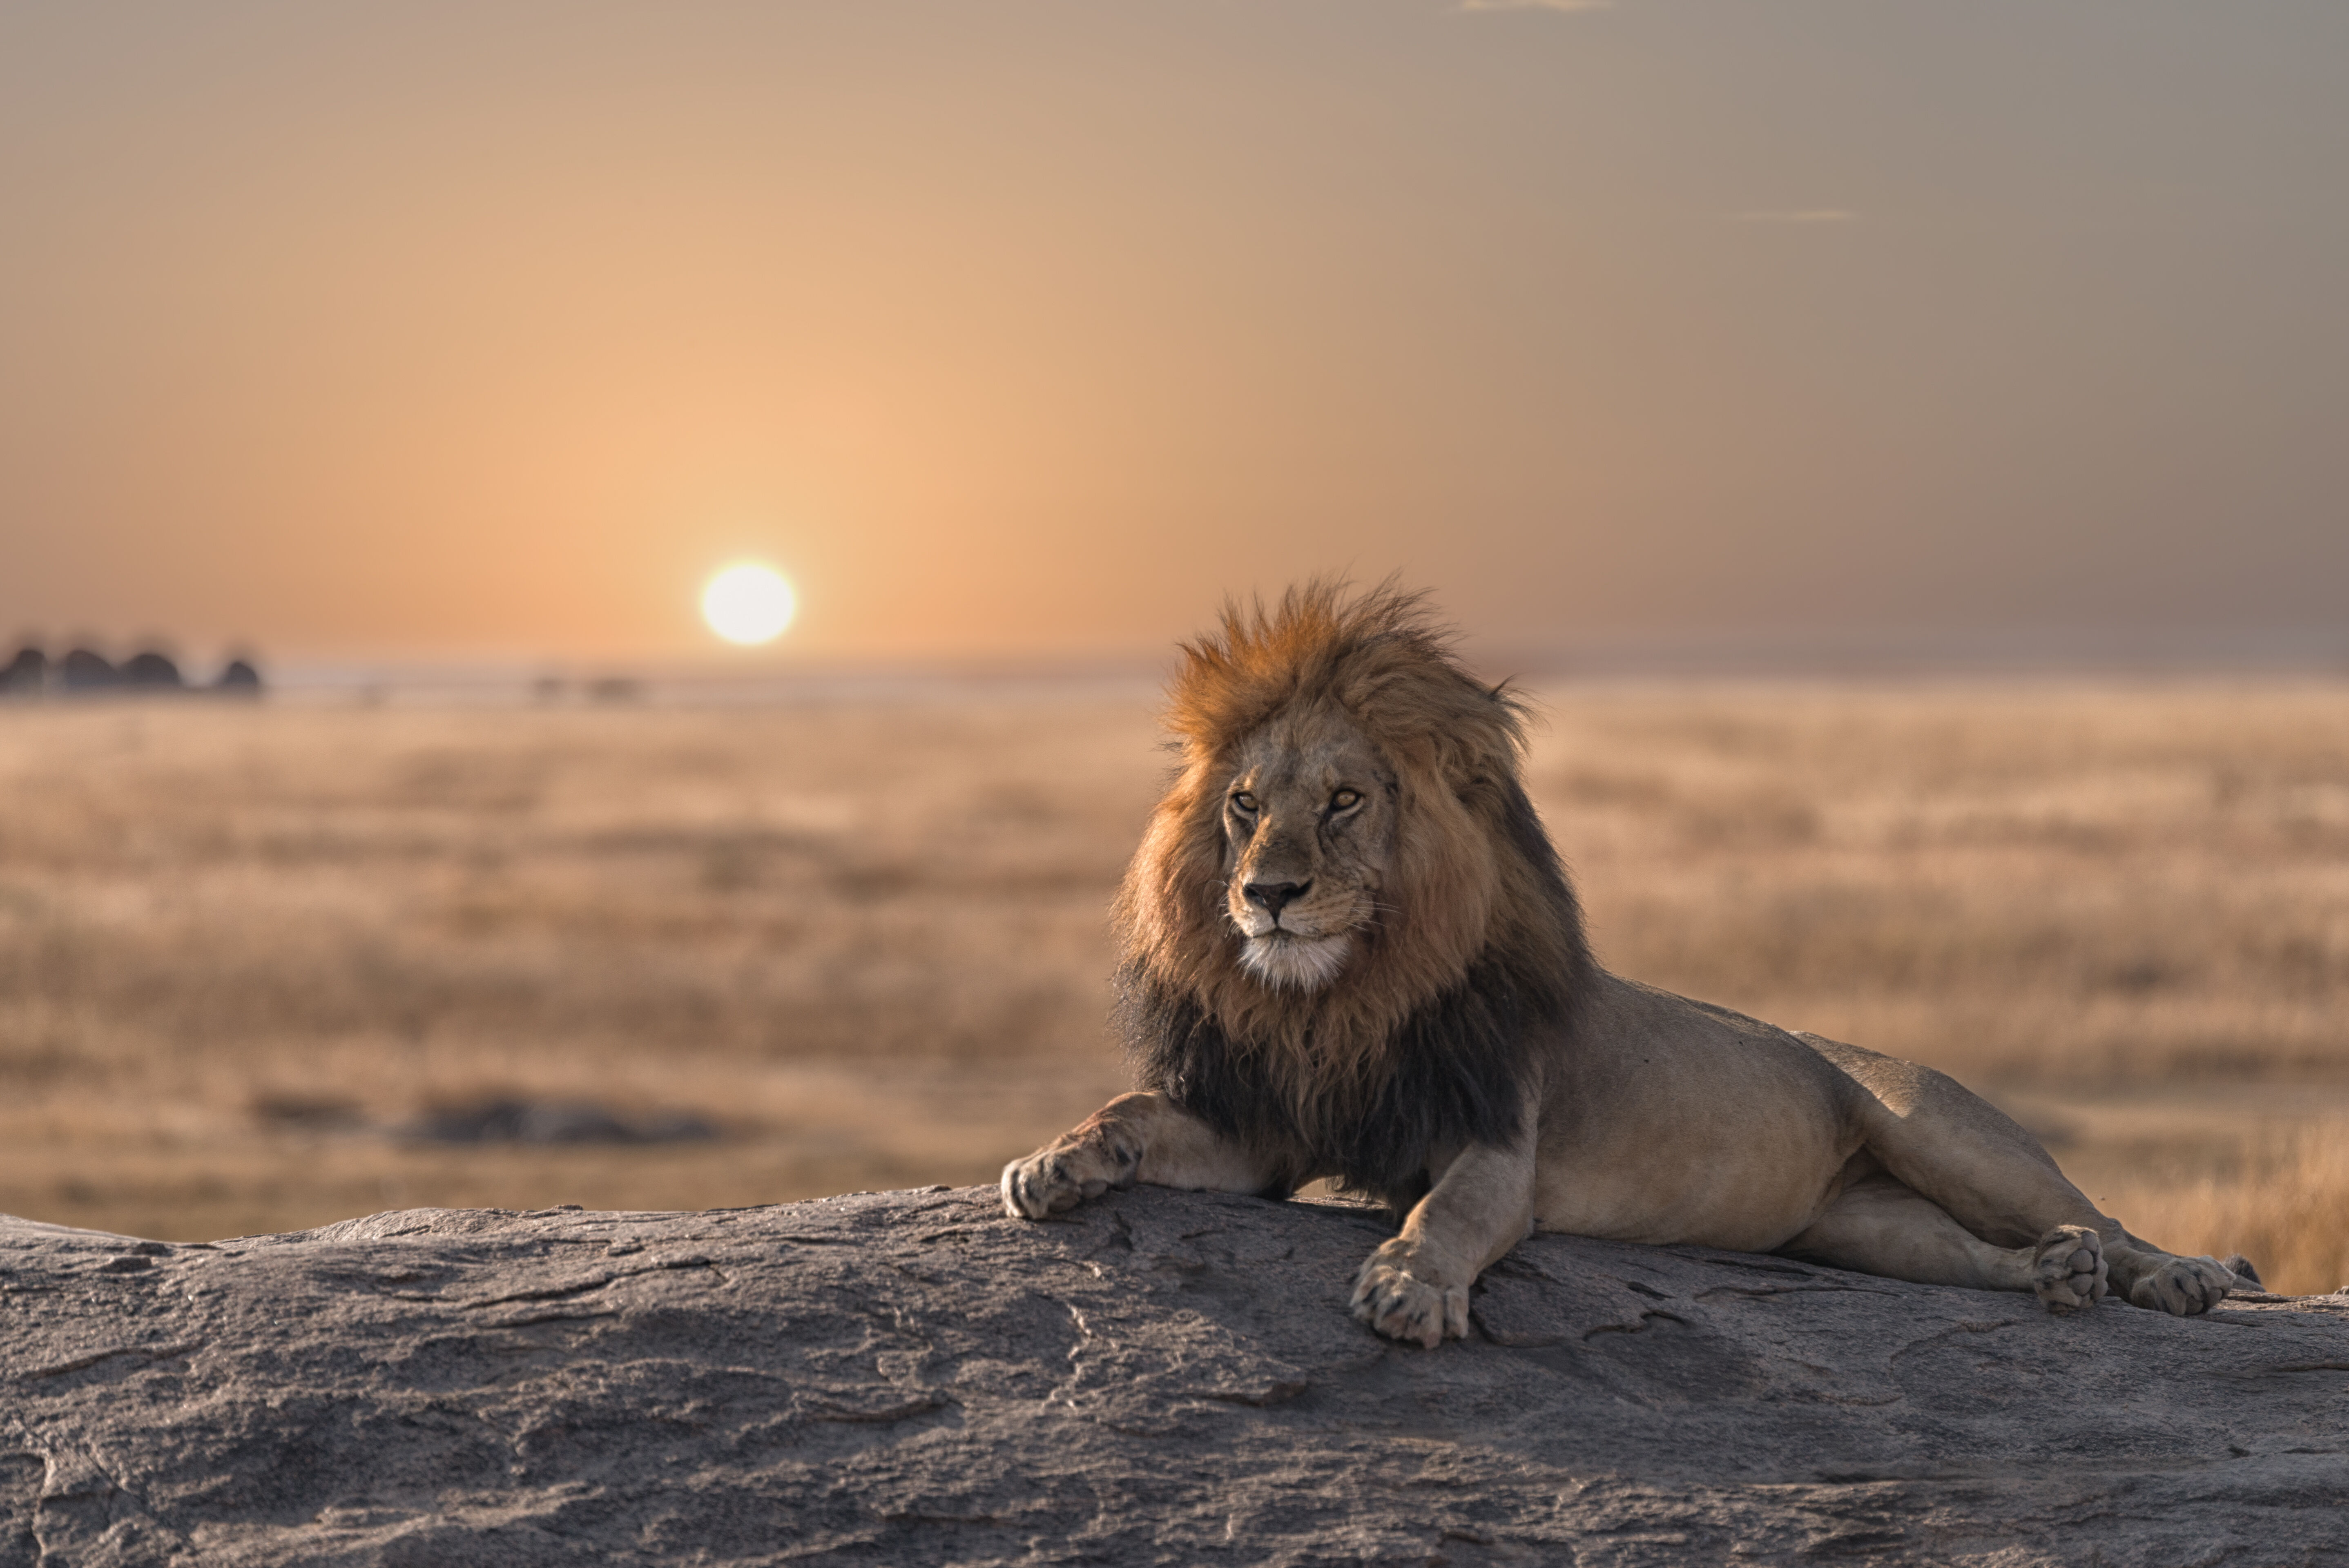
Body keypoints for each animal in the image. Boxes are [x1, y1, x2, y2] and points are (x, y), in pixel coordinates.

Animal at [1001, 583, 2240, 1347]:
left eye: (1344, 801)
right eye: (1246, 807)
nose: (1266, 893)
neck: (1342, 999)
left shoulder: (1495, 1140)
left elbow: (1444, 1212)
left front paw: (1406, 1285)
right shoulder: (1268, 1128)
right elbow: (1134, 1112)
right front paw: (1054, 1161)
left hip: (1942, 1131)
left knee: (2096, 1215)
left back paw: (2172, 1274)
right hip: (1859, 1225)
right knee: (1979, 1256)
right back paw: (2052, 1278)